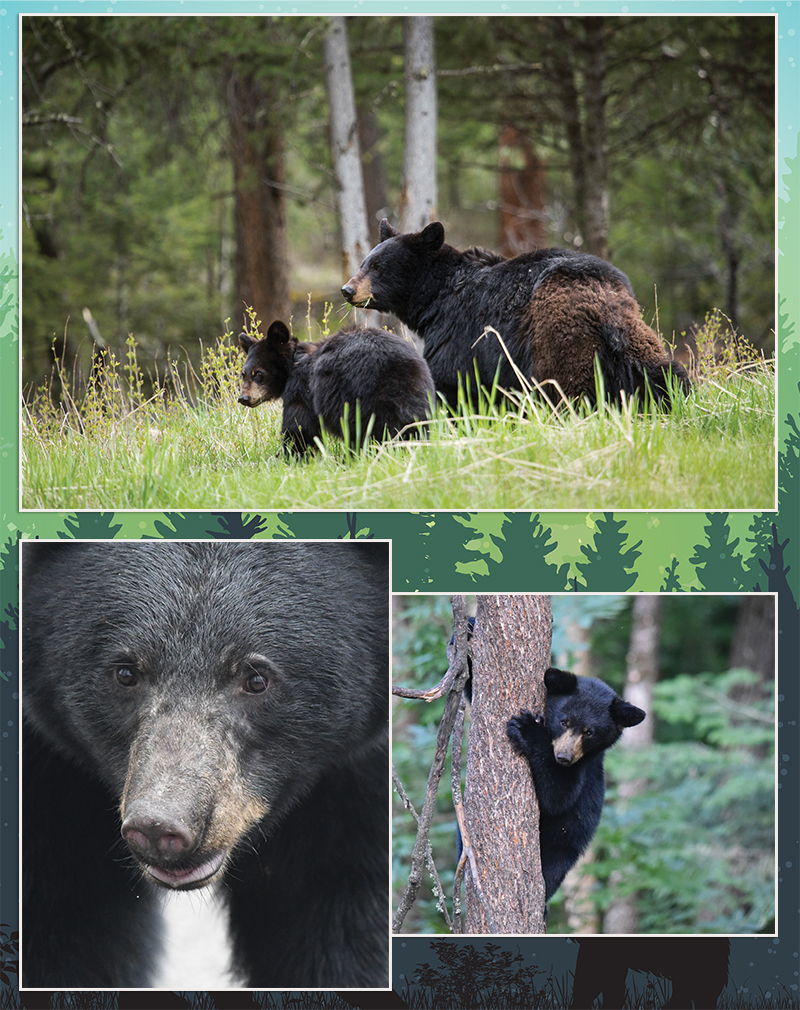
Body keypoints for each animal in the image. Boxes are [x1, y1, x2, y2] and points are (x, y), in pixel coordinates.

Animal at [237, 321, 434, 452]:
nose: (243, 398)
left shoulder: (302, 388)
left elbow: (299, 427)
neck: (294, 362)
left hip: (358, 398)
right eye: (243, 373)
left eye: (258, 373)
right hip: (419, 395)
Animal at [341, 220, 690, 410]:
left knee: (567, 389)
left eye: (379, 267)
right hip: (636, 338)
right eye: (364, 262)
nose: (347, 290)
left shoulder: (459, 332)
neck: (436, 297)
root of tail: (604, 305)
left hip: (559, 340)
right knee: (663, 373)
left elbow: (450, 382)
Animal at [509, 666, 646, 904]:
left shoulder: (583, 768)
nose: (563, 757)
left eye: (589, 732)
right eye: (564, 721)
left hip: (561, 847)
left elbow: (558, 797)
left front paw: (527, 729)